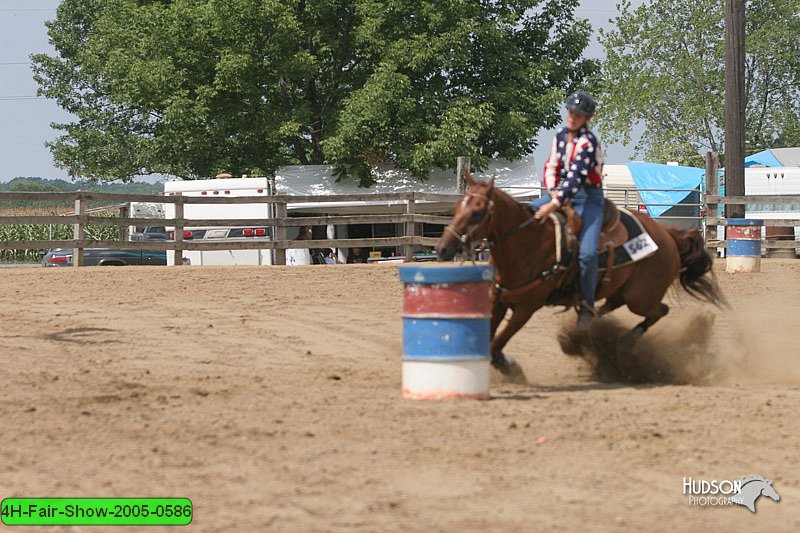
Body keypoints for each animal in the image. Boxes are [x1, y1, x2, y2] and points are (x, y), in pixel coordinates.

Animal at [438, 175, 724, 374]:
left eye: (476, 212)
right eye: (457, 208)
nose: (442, 249)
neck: (529, 243)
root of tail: (668, 236)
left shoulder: (526, 308)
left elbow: (498, 343)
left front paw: (509, 367)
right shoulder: (498, 299)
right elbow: (489, 337)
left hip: (640, 297)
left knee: (659, 311)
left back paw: (624, 341)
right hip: (621, 291)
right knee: (607, 306)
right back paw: (587, 326)